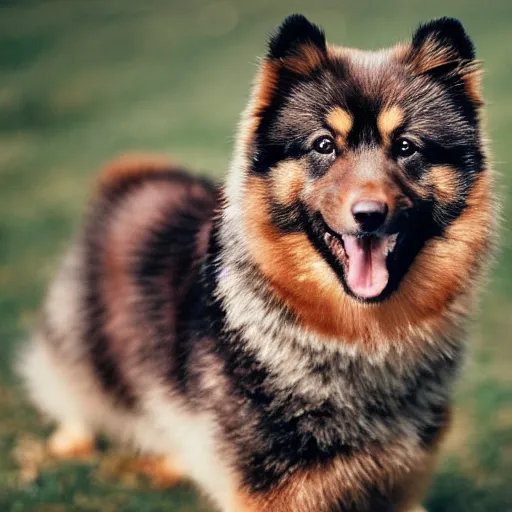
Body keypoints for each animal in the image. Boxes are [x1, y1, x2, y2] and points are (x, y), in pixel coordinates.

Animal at [20, 14, 496, 510]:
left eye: (406, 147)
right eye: (324, 145)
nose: (369, 214)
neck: (355, 338)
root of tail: (132, 178)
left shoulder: (401, 481)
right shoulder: (269, 490)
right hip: (82, 345)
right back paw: (72, 436)